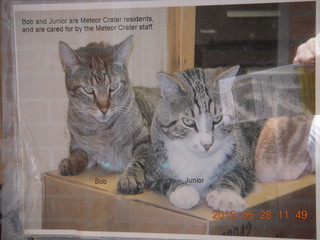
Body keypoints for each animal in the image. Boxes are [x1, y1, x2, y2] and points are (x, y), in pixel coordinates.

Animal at [144, 67, 264, 210]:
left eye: (218, 119)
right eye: (188, 121)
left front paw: (225, 195)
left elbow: (235, 175)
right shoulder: (151, 166)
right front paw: (184, 192)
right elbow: (164, 179)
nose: (207, 145)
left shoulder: (245, 161)